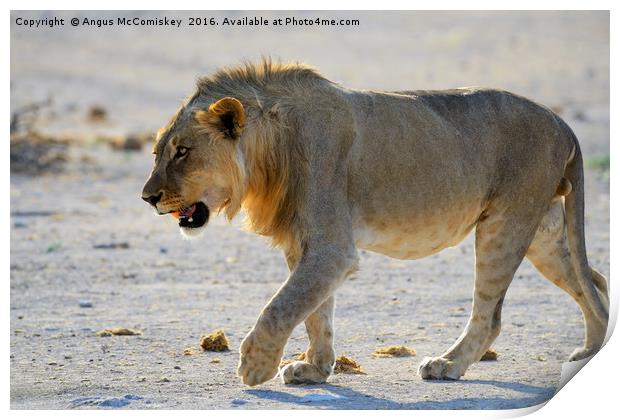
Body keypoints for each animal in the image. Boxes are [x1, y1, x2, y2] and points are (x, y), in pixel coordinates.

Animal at [142, 60, 612, 388]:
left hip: (506, 224)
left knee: (491, 316)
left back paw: (447, 364)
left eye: (183, 151)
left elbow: (282, 305)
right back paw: (589, 354)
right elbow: (314, 311)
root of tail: (562, 124)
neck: (267, 156)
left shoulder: (333, 248)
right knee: (595, 286)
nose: (147, 198)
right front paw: (314, 369)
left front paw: (255, 365)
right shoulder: (305, 245)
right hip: (544, 234)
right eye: (157, 153)